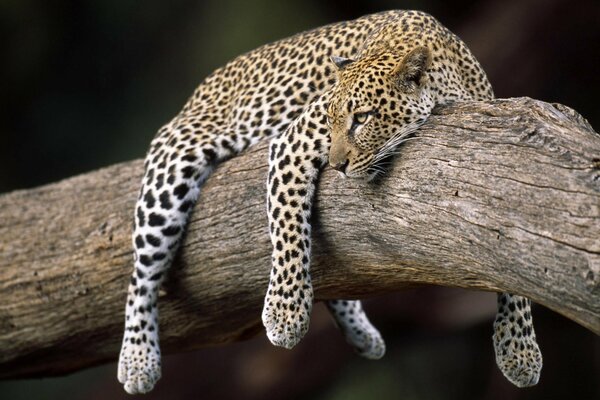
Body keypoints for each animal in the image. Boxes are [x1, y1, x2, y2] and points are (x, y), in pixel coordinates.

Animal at [119, 8, 540, 394]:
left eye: (363, 118)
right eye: (332, 119)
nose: (337, 166)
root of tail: (201, 87)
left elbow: (512, 257)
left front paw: (519, 350)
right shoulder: (292, 141)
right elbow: (289, 226)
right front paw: (285, 314)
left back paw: (362, 335)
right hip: (172, 170)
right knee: (142, 274)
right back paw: (137, 360)